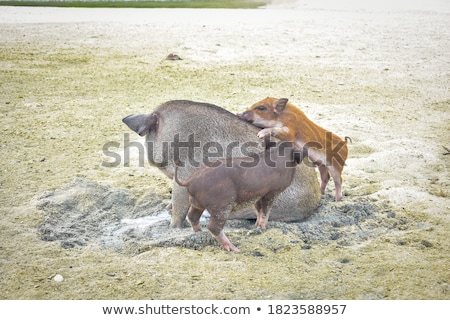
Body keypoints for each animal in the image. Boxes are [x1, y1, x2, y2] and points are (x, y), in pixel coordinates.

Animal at [174, 142, 304, 252]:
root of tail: (190, 181)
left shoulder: (257, 194)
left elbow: (258, 209)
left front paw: (256, 226)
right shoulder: (272, 191)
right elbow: (266, 210)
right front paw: (262, 227)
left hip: (196, 203)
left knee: (192, 216)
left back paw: (199, 232)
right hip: (222, 204)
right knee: (213, 227)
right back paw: (234, 249)